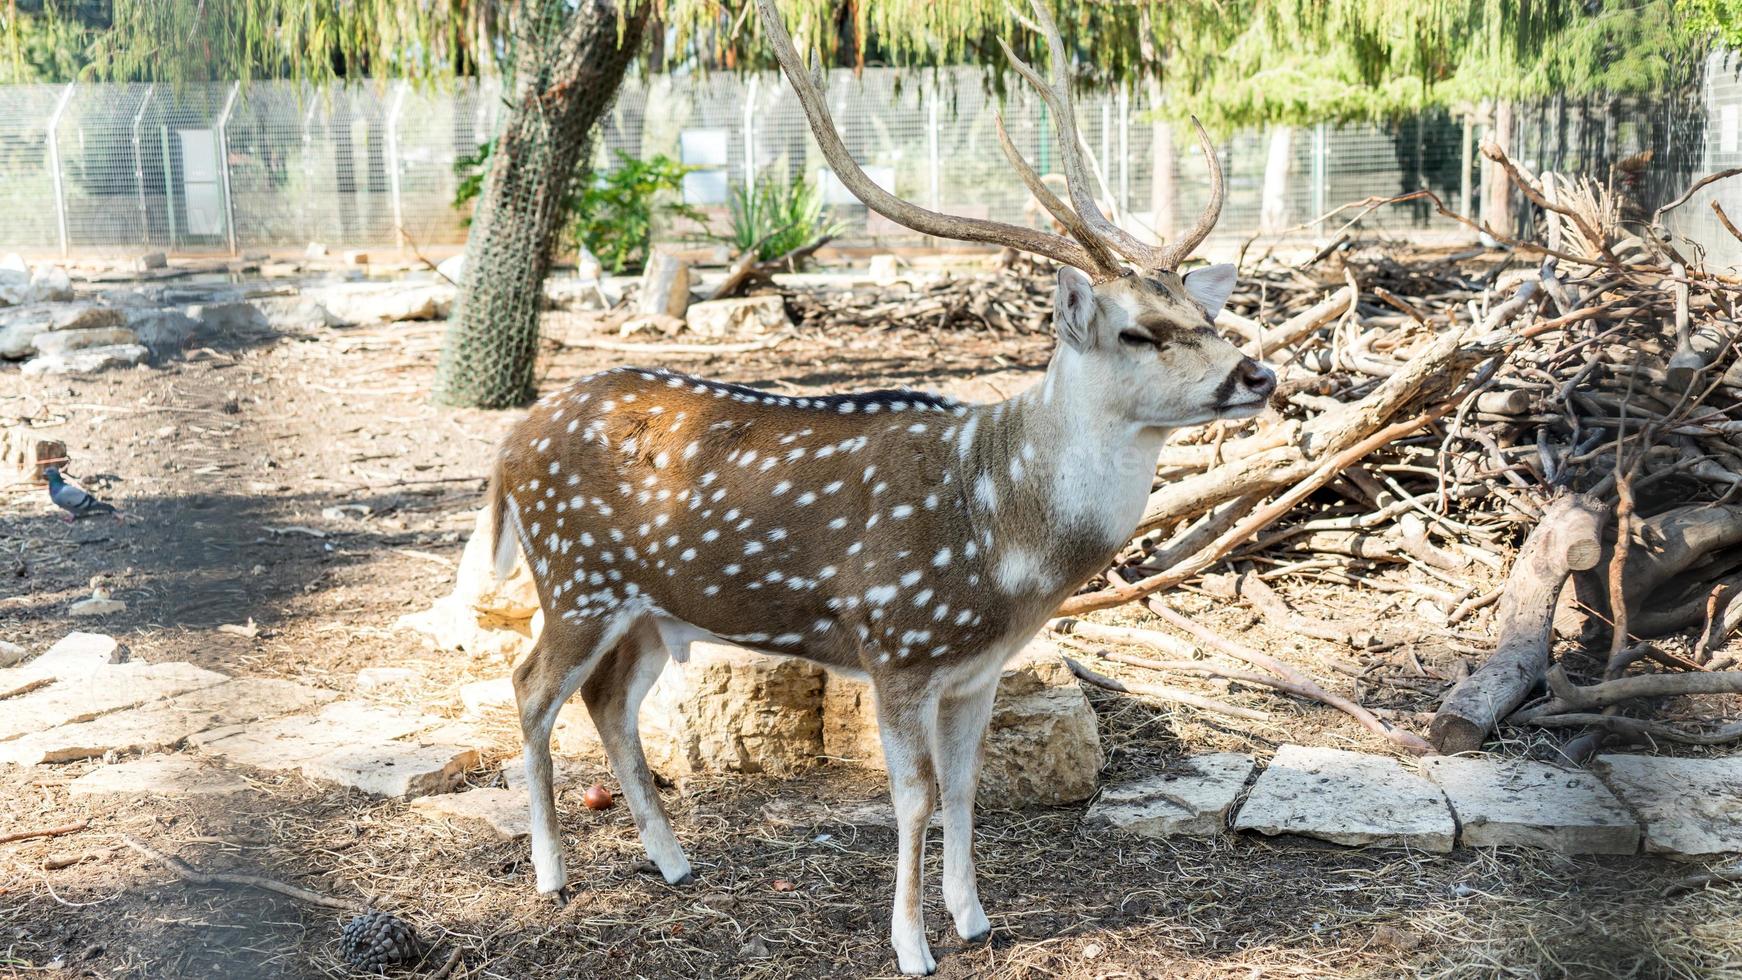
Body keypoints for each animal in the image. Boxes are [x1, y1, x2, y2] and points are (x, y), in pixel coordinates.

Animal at [491, 0, 1282, 967]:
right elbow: (912, 796)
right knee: (529, 687)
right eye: (1137, 331)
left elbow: (966, 788)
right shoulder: (894, 643)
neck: (1003, 541)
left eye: (1204, 312)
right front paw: (912, 946)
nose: (1256, 374)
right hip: (575, 578)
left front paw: (975, 919)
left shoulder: (977, 671)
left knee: (607, 701)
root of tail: (512, 441)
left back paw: (675, 863)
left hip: (647, 607)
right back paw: (552, 875)